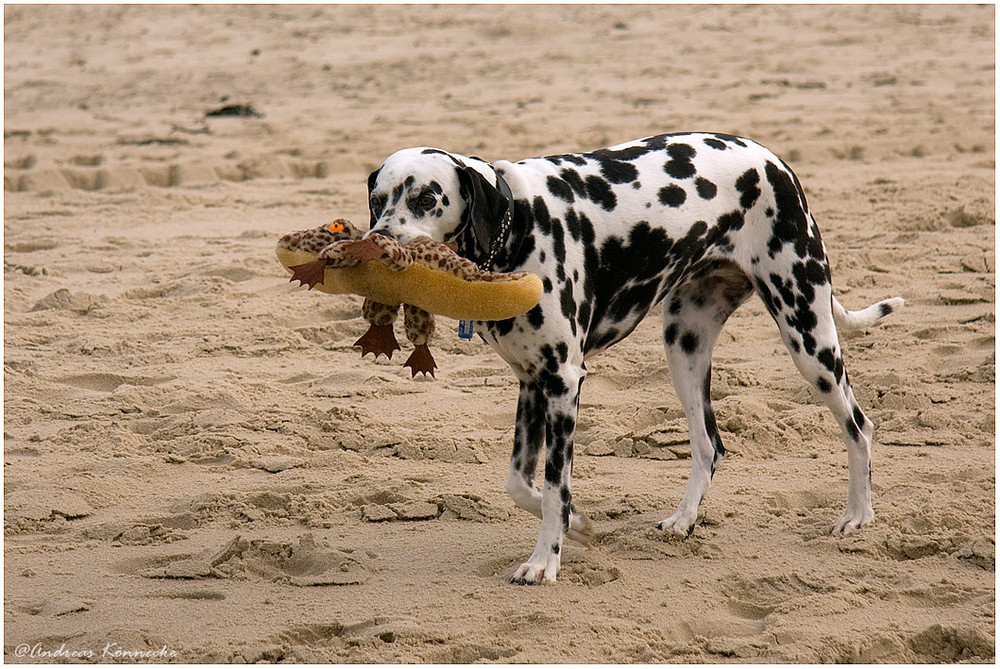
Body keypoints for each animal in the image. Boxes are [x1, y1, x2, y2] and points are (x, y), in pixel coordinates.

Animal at [368, 133, 908, 580]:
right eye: (377, 200)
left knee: (859, 425)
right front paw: (578, 525)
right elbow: (521, 484)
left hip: (808, 336)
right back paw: (684, 519)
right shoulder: (533, 383)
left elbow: (554, 485)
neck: (519, 222)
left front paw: (545, 561)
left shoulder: (563, 381)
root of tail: (772, 160)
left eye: (425, 198)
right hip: (684, 348)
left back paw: (857, 515)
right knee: (709, 444)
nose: (380, 242)